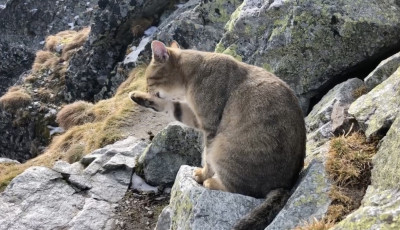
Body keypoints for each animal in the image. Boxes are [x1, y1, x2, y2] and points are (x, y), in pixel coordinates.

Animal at [130, 40, 304, 229]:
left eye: (148, 79)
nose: (146, 87)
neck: (192, 75)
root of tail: (285, 185)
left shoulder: (209, 126)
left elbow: (207, 159)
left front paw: (202, 175)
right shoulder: (194, 116)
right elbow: (170, 106)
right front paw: (138, 97)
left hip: (223, 149)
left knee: (241, 189)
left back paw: (211, 181)